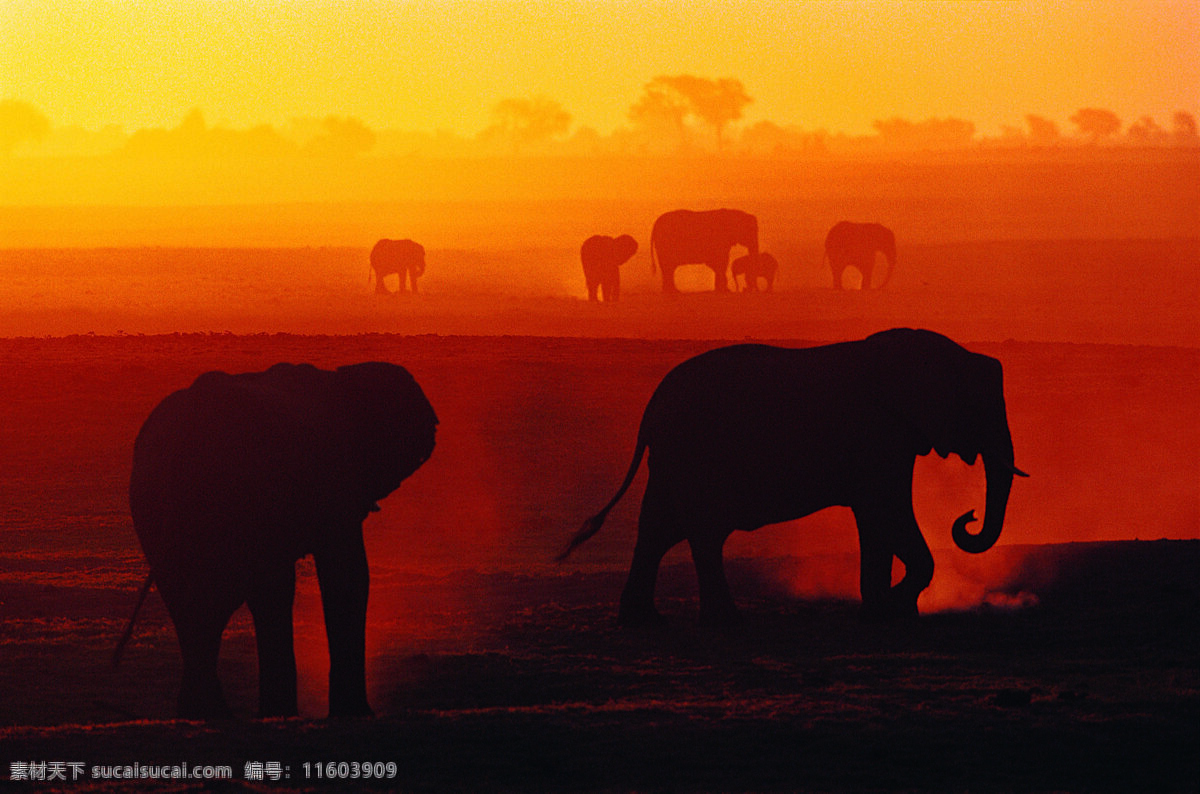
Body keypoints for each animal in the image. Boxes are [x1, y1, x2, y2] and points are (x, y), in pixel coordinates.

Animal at [119, 364, 439, 724]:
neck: (340, 377)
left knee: (197, 600)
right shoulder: (335, 480)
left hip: (156, 506)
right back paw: (228, 715)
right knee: (235, 594)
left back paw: (206, 715)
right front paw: (354, 715)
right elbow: (348, 575)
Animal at [556, 328, 1027, 628]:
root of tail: (650, 409)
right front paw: (893, 607)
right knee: (702, 532)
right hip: (694, 456)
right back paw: (727, 623)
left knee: (658, 531)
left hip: (673, 460)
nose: (967, 517)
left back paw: (645, 622)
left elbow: (875, 520)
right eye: (980, 407)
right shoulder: (878, 436)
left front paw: (881, 614)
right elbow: (886, 510)